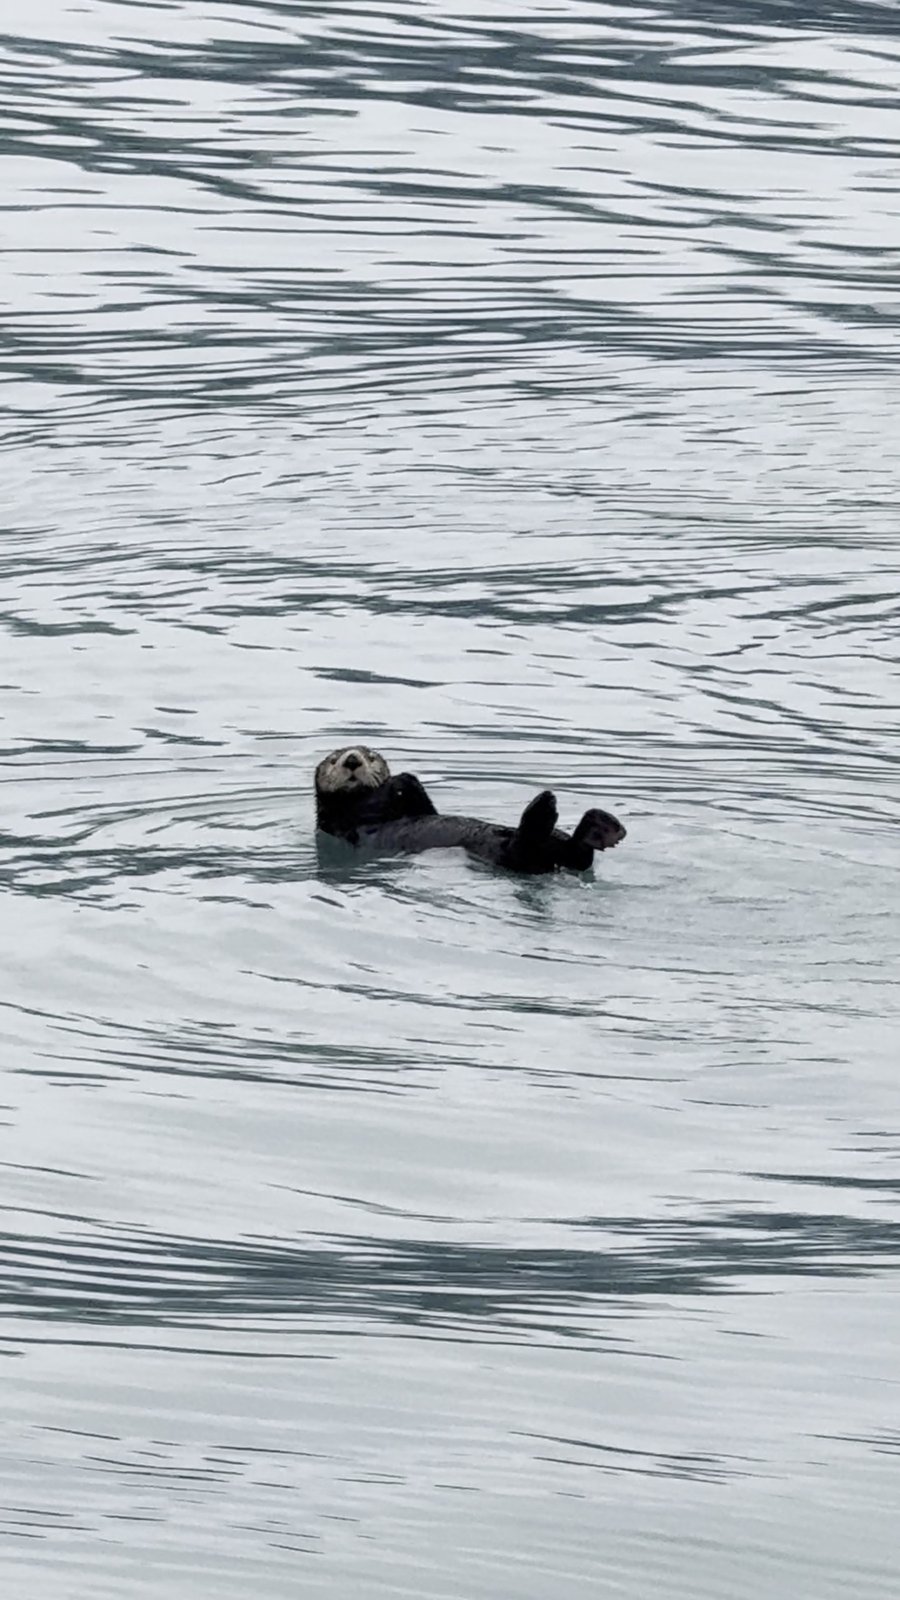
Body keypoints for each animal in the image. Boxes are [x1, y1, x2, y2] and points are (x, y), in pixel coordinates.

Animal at [314, 745, 625, 875]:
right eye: (333, 760)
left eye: (370, 757)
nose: (352, 760)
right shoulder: (345, 824)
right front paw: (396, 782)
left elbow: (423, 804)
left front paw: (403, 779)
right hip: (513, 856)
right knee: (529, 846)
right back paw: (545, 806)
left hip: (557, 848)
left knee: (578, 855)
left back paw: (603, 827)